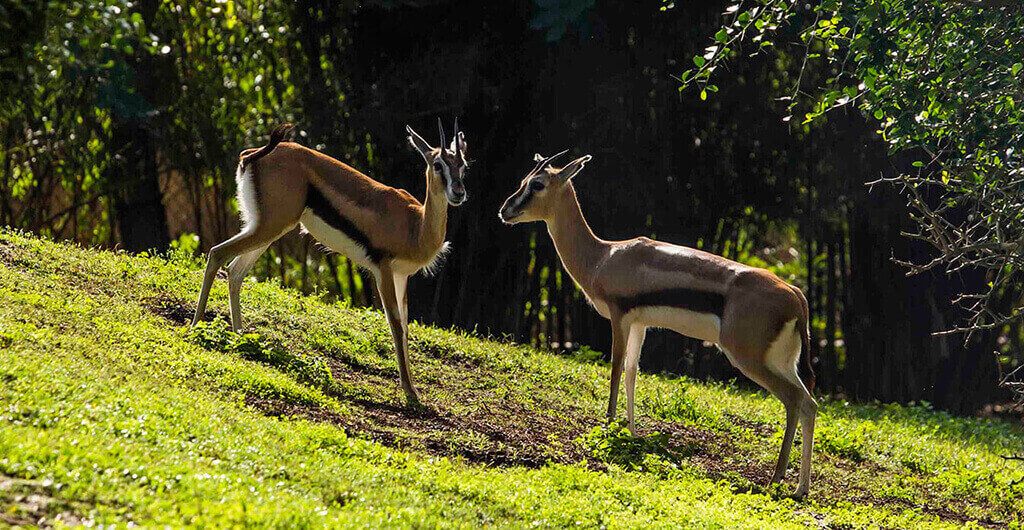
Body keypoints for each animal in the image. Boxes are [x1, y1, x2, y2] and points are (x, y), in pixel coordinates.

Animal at [192, 120, 469, 405]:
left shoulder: (402, 275)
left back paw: (240, 335)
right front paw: (409, 392)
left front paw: (413, 388)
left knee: (235, 271)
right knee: (216, 253)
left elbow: (404, 327)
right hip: (269, 228)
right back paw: (196, 326)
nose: (458, 193)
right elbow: (395, 324)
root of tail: (251, 155)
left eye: (463, 165)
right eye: (438, 164)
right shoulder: (382, 270)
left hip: (265, 229)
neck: (417, 225)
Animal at [499, 152, 818, 497]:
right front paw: (631, 432)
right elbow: (631, 373)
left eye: (537, 184)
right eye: (523, 180)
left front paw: (607, 426)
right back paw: (801, 489)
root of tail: (796, 295)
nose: (505, 210)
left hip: (749, 360)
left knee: (794, 400)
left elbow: (614, 369)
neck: (602, 257)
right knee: (810, 404)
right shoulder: (640, 324)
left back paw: (776, 479)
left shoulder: (619, 317)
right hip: (781, 362)